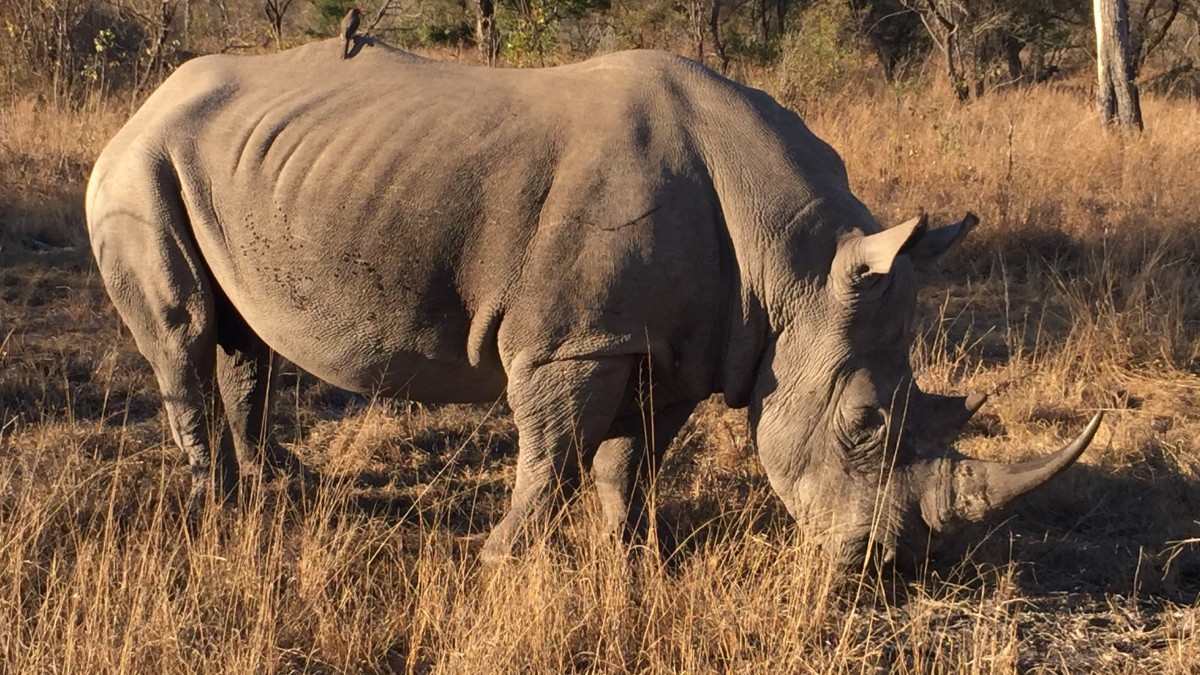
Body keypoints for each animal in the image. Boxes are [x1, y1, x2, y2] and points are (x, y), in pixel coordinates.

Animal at [84, 39, 1099, 564]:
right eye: (862, 424)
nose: (884, 565)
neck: (794, 267)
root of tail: (143, 101)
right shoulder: (573, 341)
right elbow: (554, 455)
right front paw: (501, 557)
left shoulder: (686, 339)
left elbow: (630, 456)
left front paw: (640, 552)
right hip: (138, 165)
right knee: (183, 333)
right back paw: (217, 510)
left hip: (218, 164)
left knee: (242, 338)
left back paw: (279, 485)